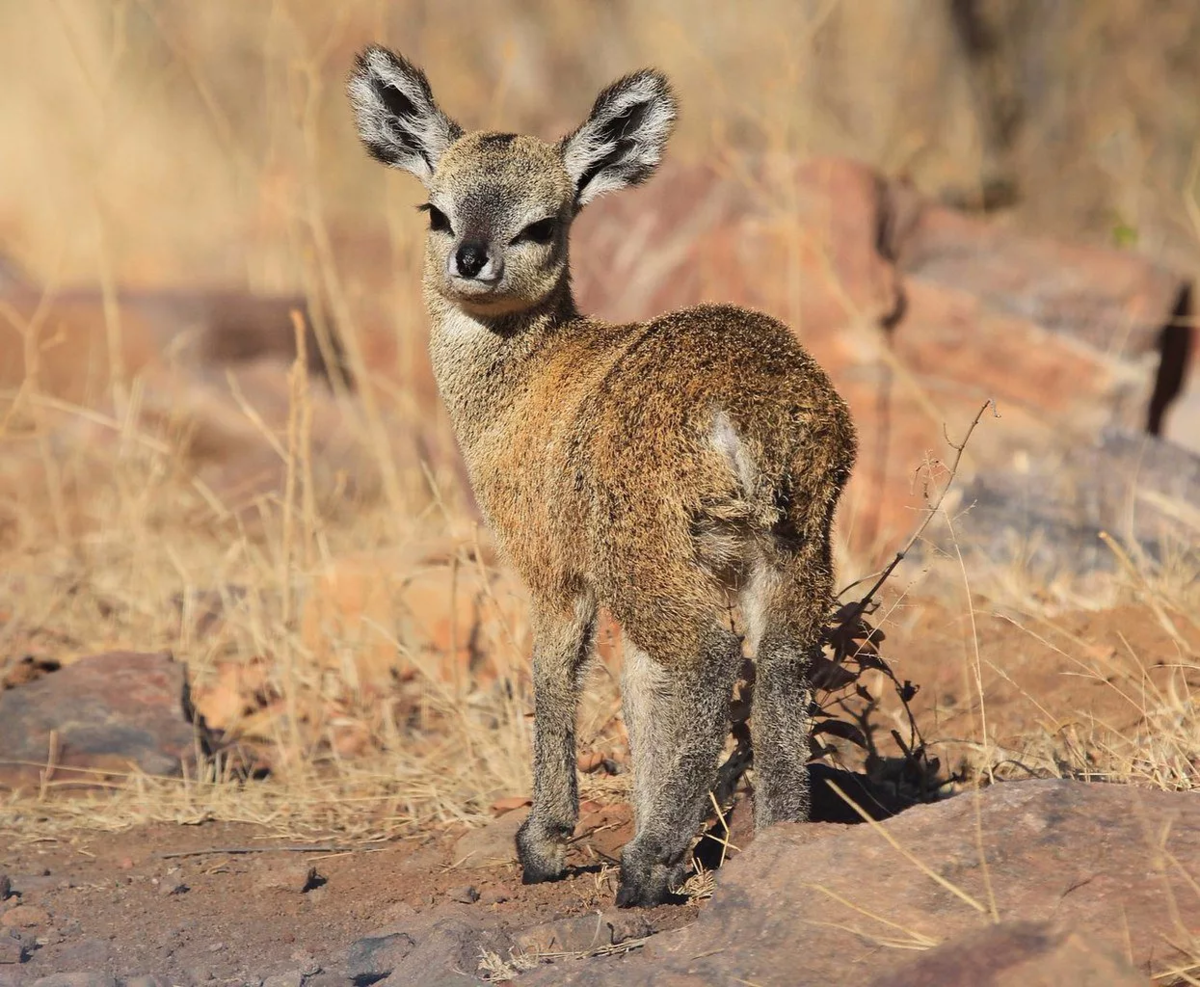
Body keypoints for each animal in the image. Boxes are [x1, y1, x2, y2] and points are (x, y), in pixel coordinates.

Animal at [348, 48, 854, 912]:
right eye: (435, 211)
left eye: (543, 222)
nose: (471, 259)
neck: (527, 391)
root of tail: (749, 411)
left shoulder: (551, 566)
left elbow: (554, 676)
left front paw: (543, 843)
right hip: (793, 549)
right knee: (778, 664)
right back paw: (772, 839)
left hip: (647, 555)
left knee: (705, 659)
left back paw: (645, 865)